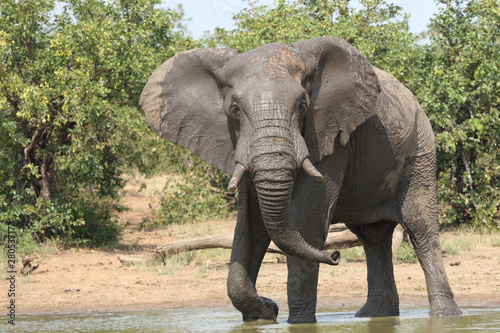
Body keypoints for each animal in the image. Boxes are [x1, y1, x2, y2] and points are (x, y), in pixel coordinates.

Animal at [138, 35, 460, 322]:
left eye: (303, 106)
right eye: (234, 109)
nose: (335, 256)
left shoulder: (329, 134)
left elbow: (306, 220)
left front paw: (298, 322)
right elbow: (250, 224)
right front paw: (263, 312)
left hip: (420, 150)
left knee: (421, 230)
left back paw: (445, 316)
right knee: (374, 238)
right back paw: (374, 315)